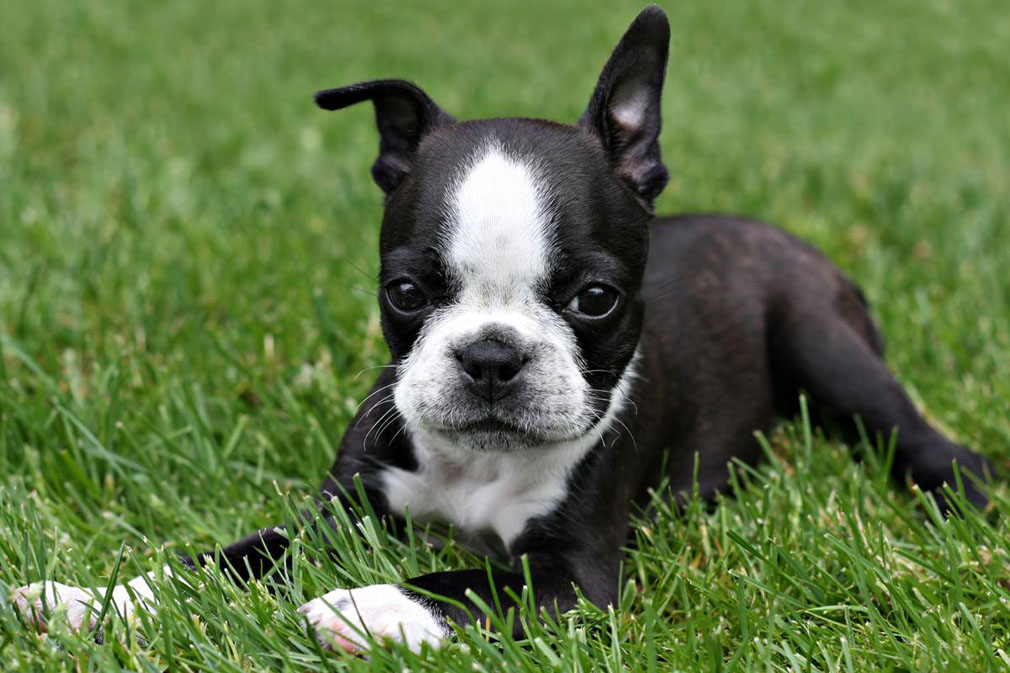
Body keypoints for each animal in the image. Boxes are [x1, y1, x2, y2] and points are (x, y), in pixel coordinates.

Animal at [17, 3, 993, 654]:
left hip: (821, 344)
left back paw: (962, 504)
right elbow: (218, 561)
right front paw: (92, 597)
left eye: (595, 299)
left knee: (927, 439)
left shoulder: (577, 576)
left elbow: (470, 579)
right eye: (407, 290)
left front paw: (367, 606)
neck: (478, 464)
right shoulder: (337, 511)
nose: (491, 356)